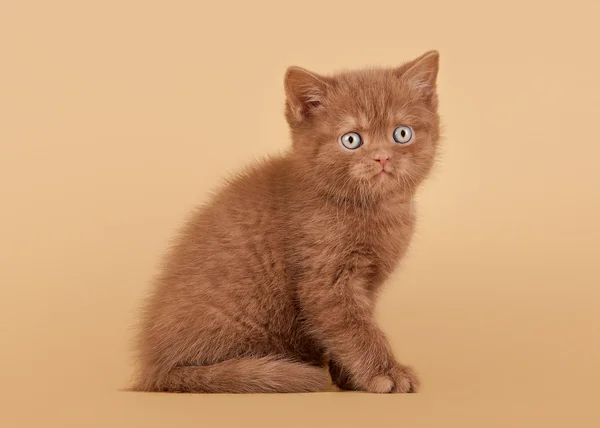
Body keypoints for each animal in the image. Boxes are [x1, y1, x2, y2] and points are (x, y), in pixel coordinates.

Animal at [134, 48, 440, 392]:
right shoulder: (327, 281)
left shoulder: (367, 285)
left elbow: (350, 330)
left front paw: (349, 378)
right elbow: (355, 329)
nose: (383, 157)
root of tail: (154, 371)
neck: (376, 211)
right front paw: (385, 372)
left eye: (402, 133)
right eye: (351, 140)